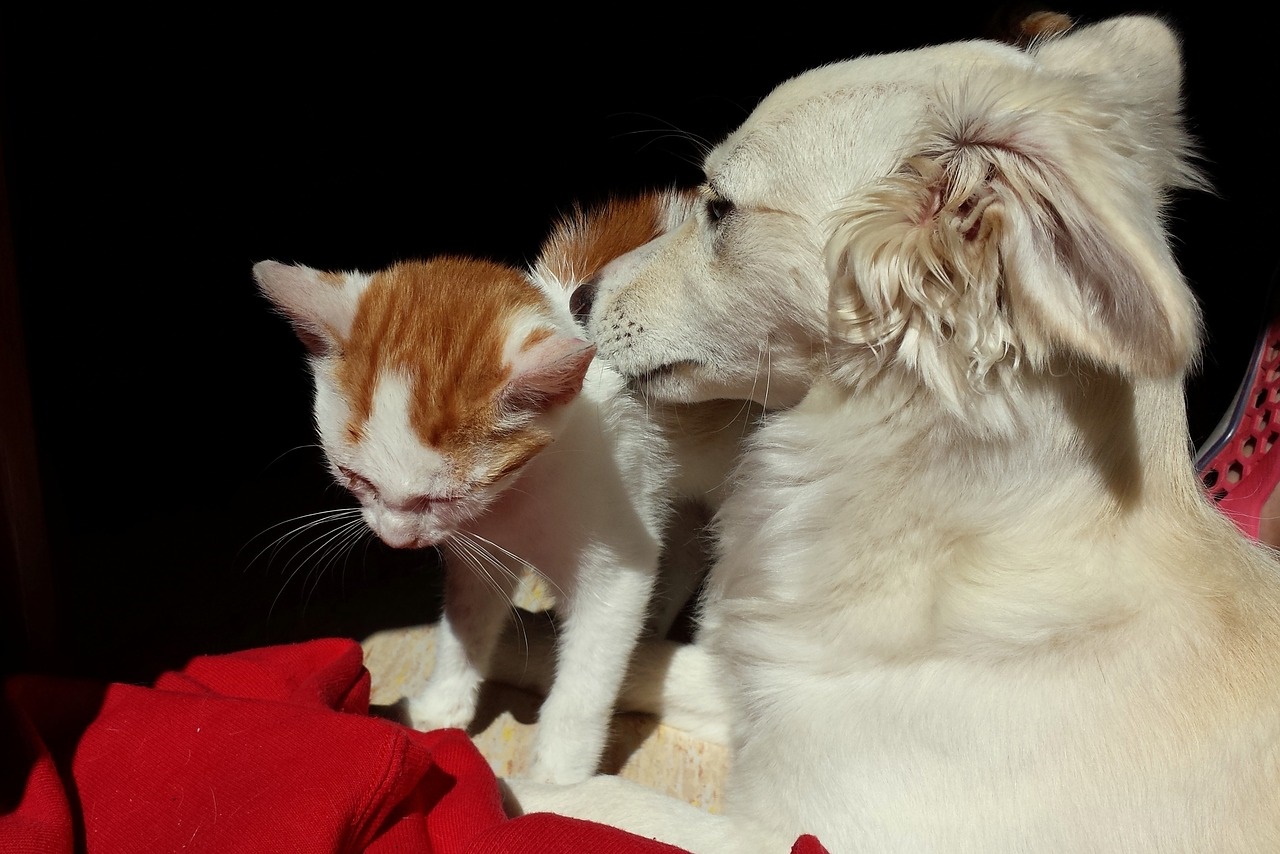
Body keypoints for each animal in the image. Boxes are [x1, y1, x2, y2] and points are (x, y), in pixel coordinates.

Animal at [504, 13, 1280, 854]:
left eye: (719, 210)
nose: (580, 297)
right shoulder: (768, 693)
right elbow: (650, 657)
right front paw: (520, 645)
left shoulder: (790, 829)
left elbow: (599, 802)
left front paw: (519, 786)